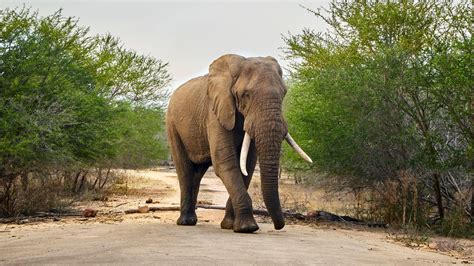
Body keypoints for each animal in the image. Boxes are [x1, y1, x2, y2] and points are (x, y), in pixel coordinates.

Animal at [167, 54, 312, 233]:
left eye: (284, 94)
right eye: (246, 95)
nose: (279, 226)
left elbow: (247, 166)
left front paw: (229, 225)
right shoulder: (215, 112)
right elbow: (225, 163)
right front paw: (247, 228)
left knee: (197, 173)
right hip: (172, 124)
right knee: (186, 171)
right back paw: (186, 222)